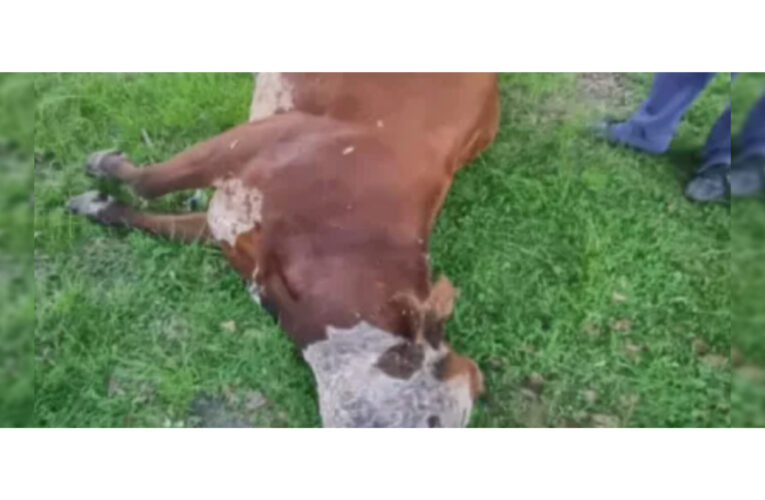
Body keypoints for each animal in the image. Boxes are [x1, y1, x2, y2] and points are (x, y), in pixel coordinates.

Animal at [67, 73, 500, 427]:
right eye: (434, 424)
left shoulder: (227, 222)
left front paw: (100, 204)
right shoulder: (263, 137)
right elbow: (149, 182)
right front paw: (104, 165)